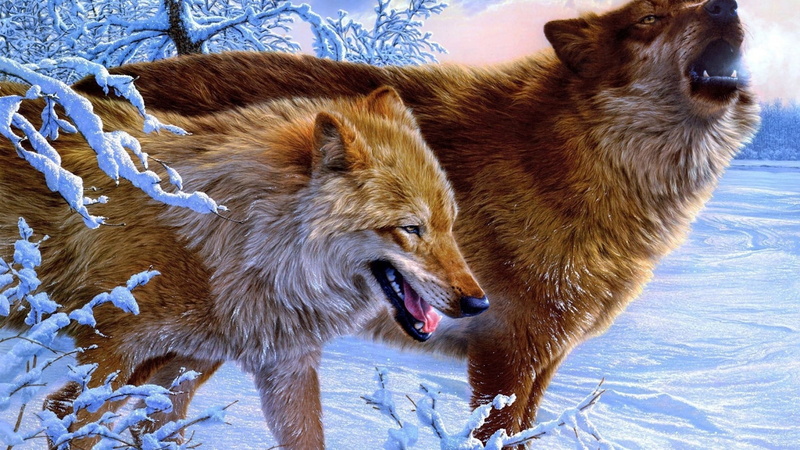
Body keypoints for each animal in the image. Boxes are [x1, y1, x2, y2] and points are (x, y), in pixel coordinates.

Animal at [0, 84, 489, 448]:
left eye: (450, 224)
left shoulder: (230, 367)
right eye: (412, 228)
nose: (479, 304)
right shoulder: (108, 356)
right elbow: (67, 419)